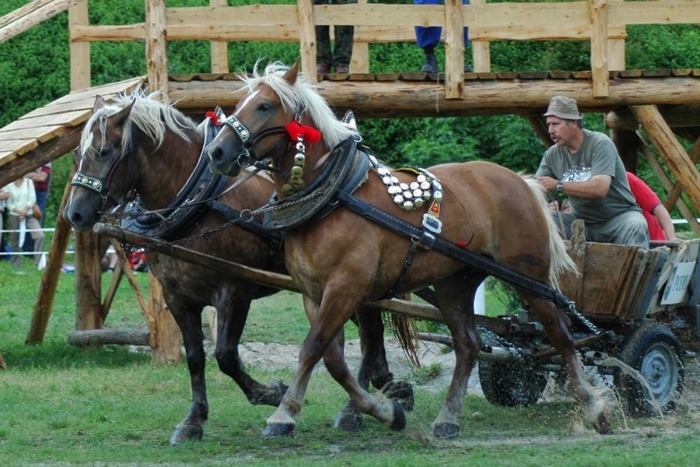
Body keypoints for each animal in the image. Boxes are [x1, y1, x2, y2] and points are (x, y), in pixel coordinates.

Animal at [63, 91, 412, 446]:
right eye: (78, 153)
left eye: (104, 151)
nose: (75, 214)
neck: (196, 201)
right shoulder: (178, 298)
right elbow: (195, 356)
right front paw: (193, 420)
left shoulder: (234, 291)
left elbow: (226, 356)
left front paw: (271, 393)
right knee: (370, 333)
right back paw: (389, 386)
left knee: (370, 334)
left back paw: (355, 409)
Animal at [206, 61, 612, 438]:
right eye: (239, 104)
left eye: (264, 106)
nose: (216, 152)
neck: (333, 195)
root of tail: (522, 181)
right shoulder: (313, 293)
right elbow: (332, 358)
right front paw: (379, 411)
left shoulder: (345, 289)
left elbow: (313, 349)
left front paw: (285, 414)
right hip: (454, 284)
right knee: (468, 345)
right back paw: (448, 417)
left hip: (528, 275)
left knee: (560, 333)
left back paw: (593, 407)